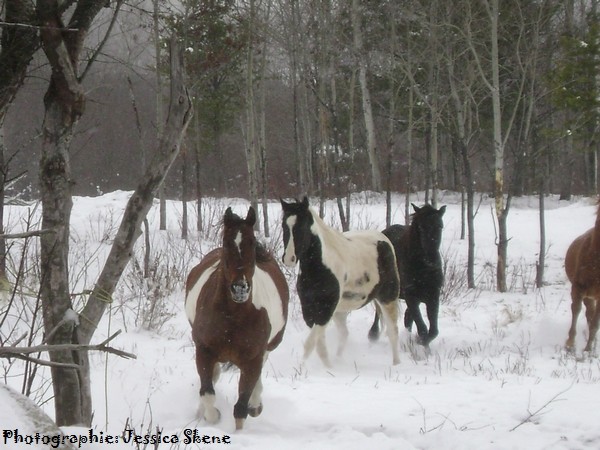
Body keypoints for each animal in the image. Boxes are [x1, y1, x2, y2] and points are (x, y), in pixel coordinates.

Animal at [185, 207, 288, 428]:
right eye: (226, 242)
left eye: (252, 241)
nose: (240, 288)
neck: (232, 316)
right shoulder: (204, 351)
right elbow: (207, 393)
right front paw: (211, 416)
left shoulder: (252, 360)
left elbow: (240, 408)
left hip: (269, 347)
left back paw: (256, 404)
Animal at [282, 197, 404, 366]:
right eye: (284, 225)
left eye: (302, 226)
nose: (289, 259)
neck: (321, 266)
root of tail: (385, 240)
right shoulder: (309, 309)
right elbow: (319, 344)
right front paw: (326, 367)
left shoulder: (326, 308)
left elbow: (311, 344)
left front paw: (313, 367)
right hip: (341, 310)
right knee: (344, 334)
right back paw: (339, 359)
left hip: (387, 299)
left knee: (393, 331)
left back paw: (396, 364)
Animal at [366, 202, 446, 346]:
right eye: (421, 227)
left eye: (440, 226)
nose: (432, 261)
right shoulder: (410, 296)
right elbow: (422, 328)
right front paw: (421, 343)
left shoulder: (433, 295)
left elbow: (433, 330)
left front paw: (420, 342)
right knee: (379, 312)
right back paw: (373, 334)